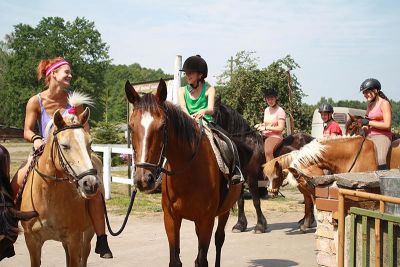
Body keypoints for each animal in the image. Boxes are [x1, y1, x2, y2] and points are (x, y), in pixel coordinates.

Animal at [125, 79, 241, 267]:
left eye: (162, 126)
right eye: (131, 126)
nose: (144, 179)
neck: (188, 171)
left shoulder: (206, 220)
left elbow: (201, 260)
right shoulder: (171, 219)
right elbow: (175, 260)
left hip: (224, 212)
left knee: (219, 239)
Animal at [214, 99, 314, 233]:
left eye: (213, 112)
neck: (247, 146)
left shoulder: (251, 178)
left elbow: (256, 201)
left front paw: (260, 226)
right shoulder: (241, 179)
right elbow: (240, 201)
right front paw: (240, 225)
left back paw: (307, 223)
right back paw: (306, 221)